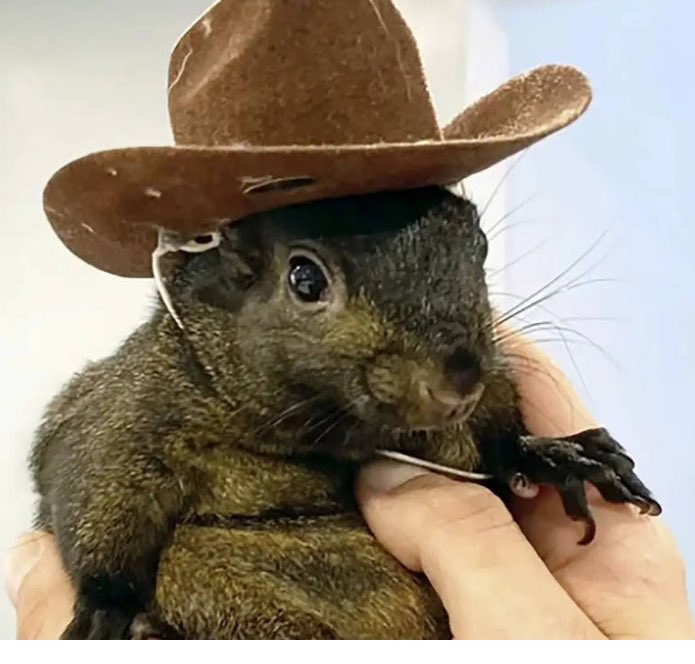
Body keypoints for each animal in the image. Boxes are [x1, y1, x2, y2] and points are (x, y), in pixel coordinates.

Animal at [30, 185, 661, 639]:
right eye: (304, 278)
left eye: (478, 244)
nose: (460, 380)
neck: (327, 432)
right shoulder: (129, 406)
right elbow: (92, 482)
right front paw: (108, 612)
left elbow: (497, 440)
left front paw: (557, 455)